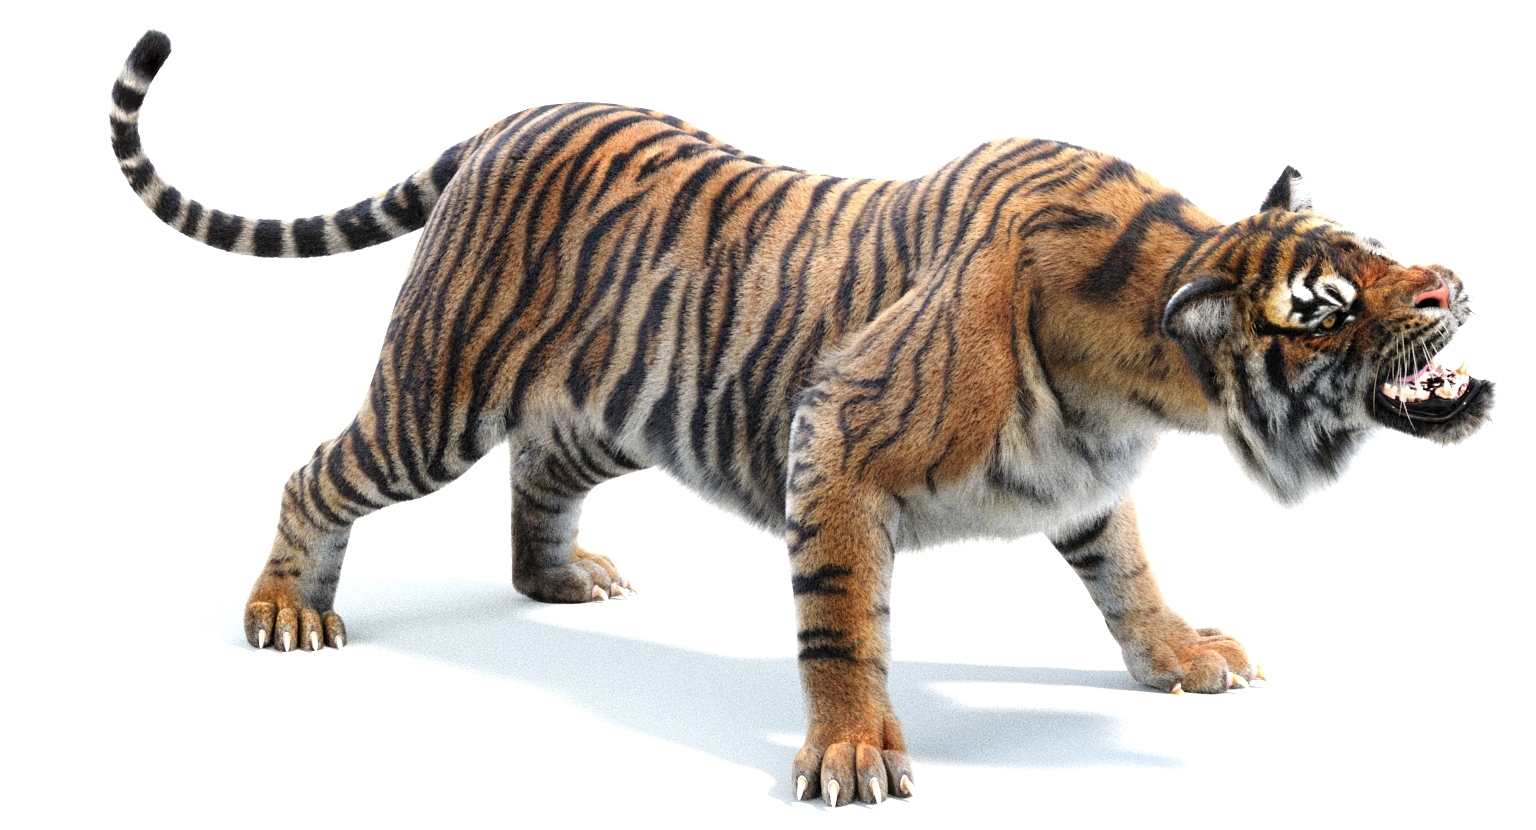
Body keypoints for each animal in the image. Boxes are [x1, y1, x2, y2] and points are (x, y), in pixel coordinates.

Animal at [110, 30, 1494, 806]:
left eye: (1378, 252)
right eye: (1327, 308)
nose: (1445, 282)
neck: (1142, 373)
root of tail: (513, 117)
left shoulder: (1086, 480)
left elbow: (1131, 576)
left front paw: (1182, 654)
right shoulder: (829, 439)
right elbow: (842, 623)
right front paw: (851, 755)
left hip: (616, 406)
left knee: (539, 470)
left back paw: (559, 580)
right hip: (437, 394)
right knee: (319, 471)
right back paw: (289, 609)